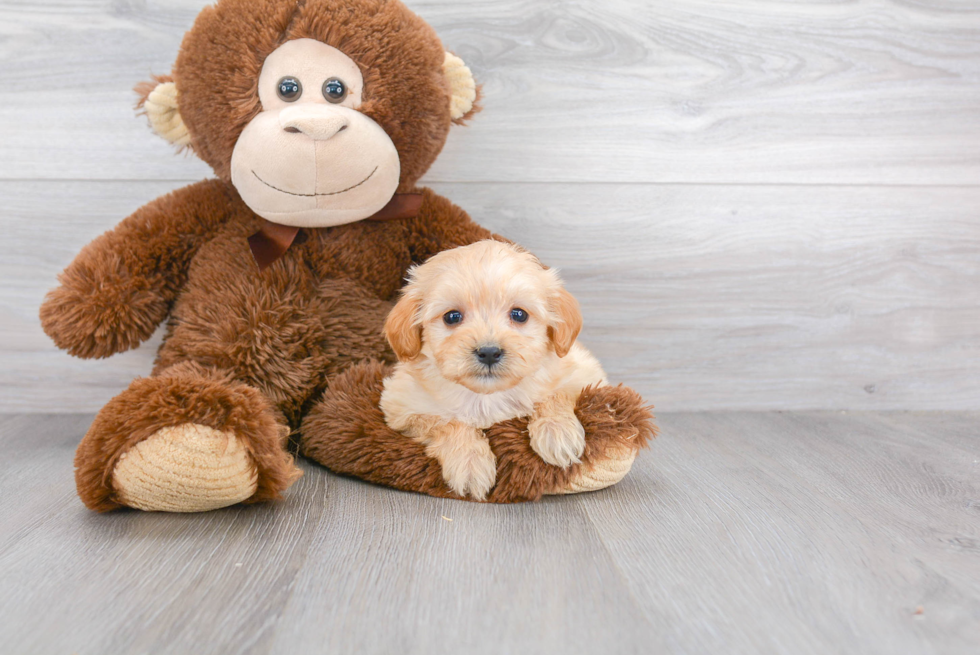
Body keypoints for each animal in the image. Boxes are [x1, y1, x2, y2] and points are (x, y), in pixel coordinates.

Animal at [380, 241, 604, 502]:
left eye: (519, 314)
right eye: (452, 317)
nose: (488, 352)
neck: (486, 396)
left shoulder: (584, 373)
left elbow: (556, 394)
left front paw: (558, 433)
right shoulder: (402, 405)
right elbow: (446, 422)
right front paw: (469, 461)